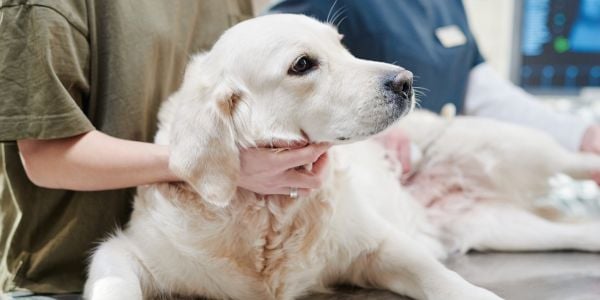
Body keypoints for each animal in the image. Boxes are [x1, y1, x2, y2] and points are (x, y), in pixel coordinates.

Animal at [83, 14, 600, 300]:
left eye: (341, 45)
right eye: (303, 64)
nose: (405, 81)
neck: (270, 214)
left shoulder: (380, 245)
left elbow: (439, 278)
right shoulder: (126, 251)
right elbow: (113, 282)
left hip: (516, 146)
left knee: (571, 161)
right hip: (508, 227)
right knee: (578, 231)